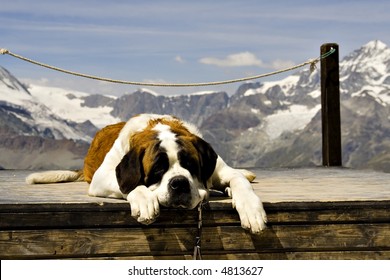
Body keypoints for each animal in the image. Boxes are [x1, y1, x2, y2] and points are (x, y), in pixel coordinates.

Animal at [25, 114, 266, 234]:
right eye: (158, 169)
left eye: (189, 164)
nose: (179, 183)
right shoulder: (103, 177)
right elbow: (130, 184)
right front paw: (144, 201)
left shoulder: (220, 170)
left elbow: (239, 181)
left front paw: (251, 210)